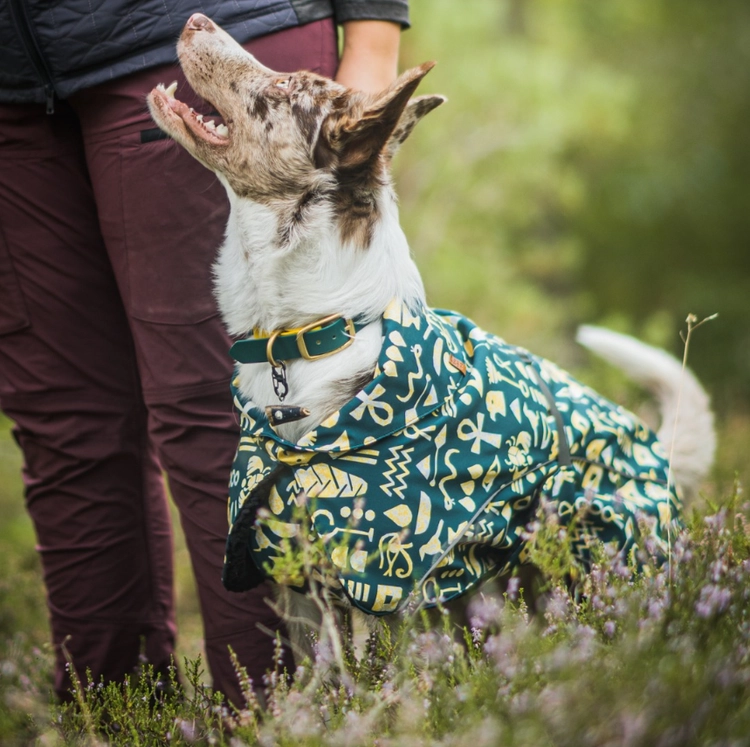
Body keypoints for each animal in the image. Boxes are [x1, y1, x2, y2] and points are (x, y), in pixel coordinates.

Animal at [148, 13, 715, 661]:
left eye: (285, 85)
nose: (195, 19)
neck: (305, 337)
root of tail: (660, 454)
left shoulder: (392, 582)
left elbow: (388, 677)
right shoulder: (294, 579)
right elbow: (321, 678)